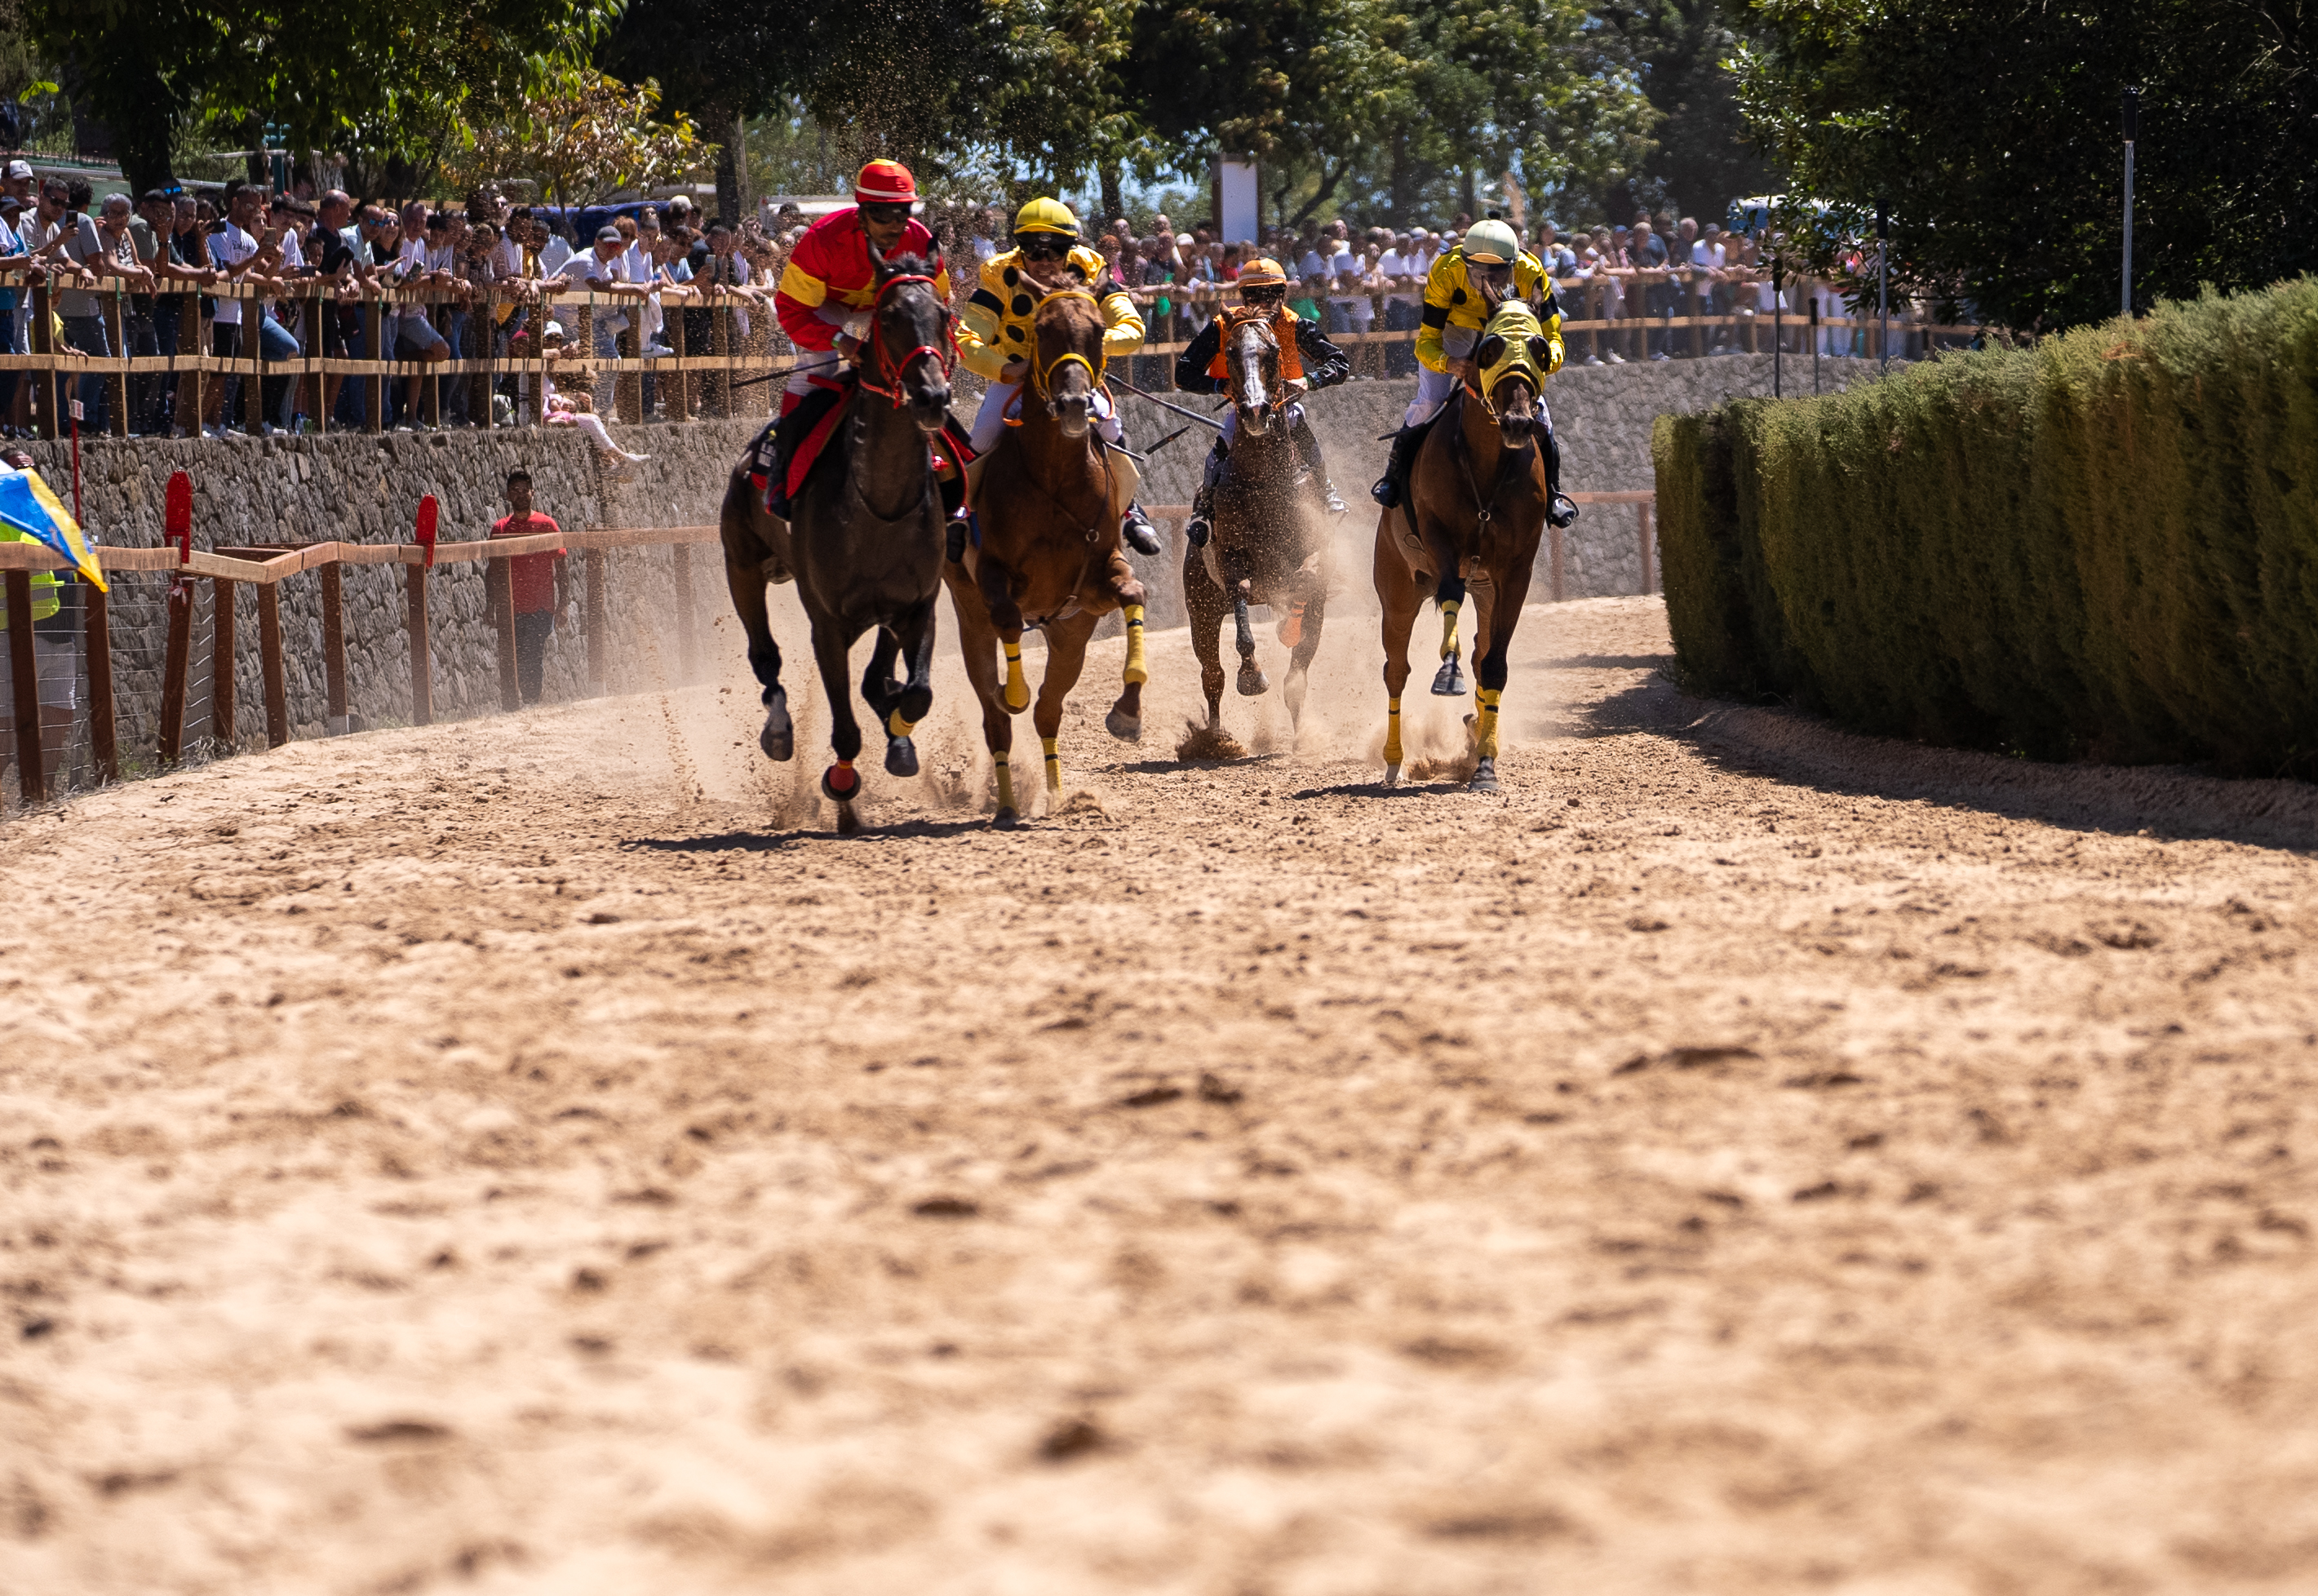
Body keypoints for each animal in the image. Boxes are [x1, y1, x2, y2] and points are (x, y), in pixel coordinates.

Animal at [714, 246, 950, 835]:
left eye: (945, 315)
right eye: (888, 317)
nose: (932, 396)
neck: (879, 503)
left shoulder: (917, 604)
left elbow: (914, 693)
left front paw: (900, 738)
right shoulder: (827, 624)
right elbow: (845, 725)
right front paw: (842, 786)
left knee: (875, 679)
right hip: (742, 565)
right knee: (766, 658)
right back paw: (778, 731)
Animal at [941, 286, 1150, 830]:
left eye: (1097, 330)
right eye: (1041, 330)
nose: (1075, 404)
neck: (1055, 475)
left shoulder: (1095, 586)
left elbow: (1134, 592)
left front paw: (1128, 712)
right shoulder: (993, 578)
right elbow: (1008, 621)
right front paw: (1011, 690)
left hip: (1071, 636)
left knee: (1047, 712)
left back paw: (1056, 795)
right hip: (969, 620)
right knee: (997, 718)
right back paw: (1008, 803)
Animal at [1186, 308, 1335, 733]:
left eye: (1272, 352)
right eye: (1231, 352)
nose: (1255, 410)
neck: (1265, 481)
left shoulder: (1314, 554)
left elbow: (1306, 577)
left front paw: (1288, 624)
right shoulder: (1231, 559)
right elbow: (1241, 599)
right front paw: (1251, 676)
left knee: (1297, 674)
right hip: (1200, 606)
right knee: (1212, 675)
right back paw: (1215, 736)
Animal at [1372, 296, 1558, 793]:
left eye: (1538, 348)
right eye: (1489, 349)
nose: (1518, 422)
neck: (1488, 468)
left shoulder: (1514, 575)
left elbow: (1494, 665)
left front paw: (1486, 763)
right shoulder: (1442, 545)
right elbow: (1451, 598)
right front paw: (1447, 673)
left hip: (1487, 591)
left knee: (1481, 651)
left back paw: (1476, 732)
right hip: (1398, 592)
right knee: (1396, 670)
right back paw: (1394, 761)